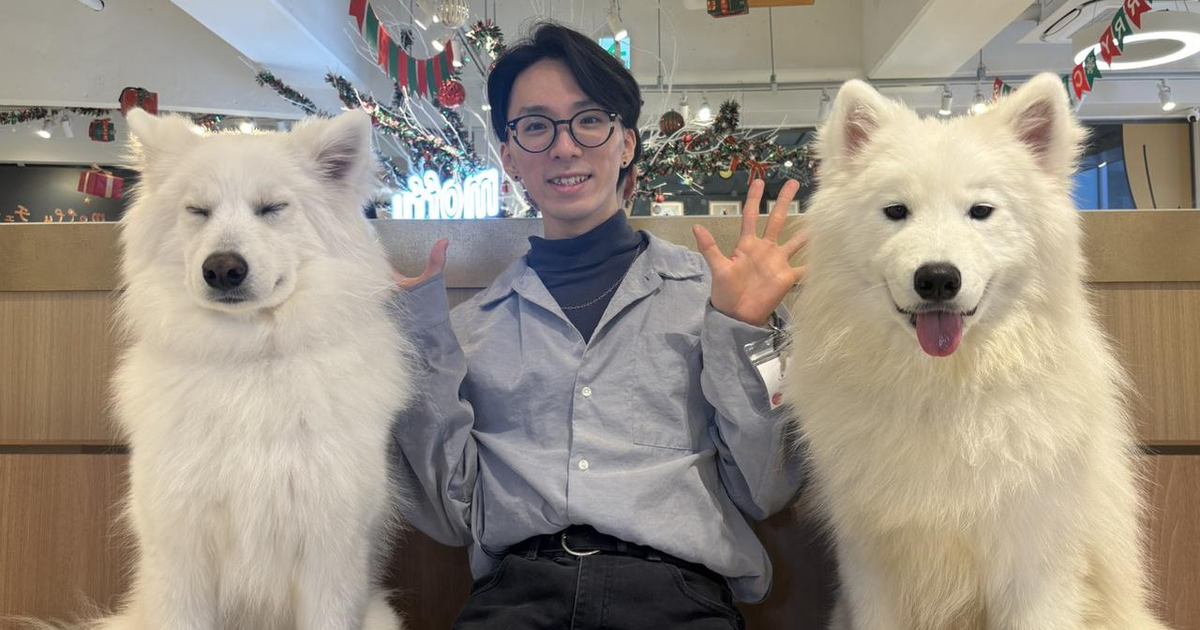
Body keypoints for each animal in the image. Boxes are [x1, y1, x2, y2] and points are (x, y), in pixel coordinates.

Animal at [32, 109, 413, 630]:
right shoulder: (180, 553)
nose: (223, 269)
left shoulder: (330, 554)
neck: (246, 360)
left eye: (272, 208)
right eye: (198, 211)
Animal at [784, 74, 1169, 630]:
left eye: (981, 212)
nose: (937, 278)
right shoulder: (870, 567)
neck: (943, 391)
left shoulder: (1033, 565)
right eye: (896, 211)